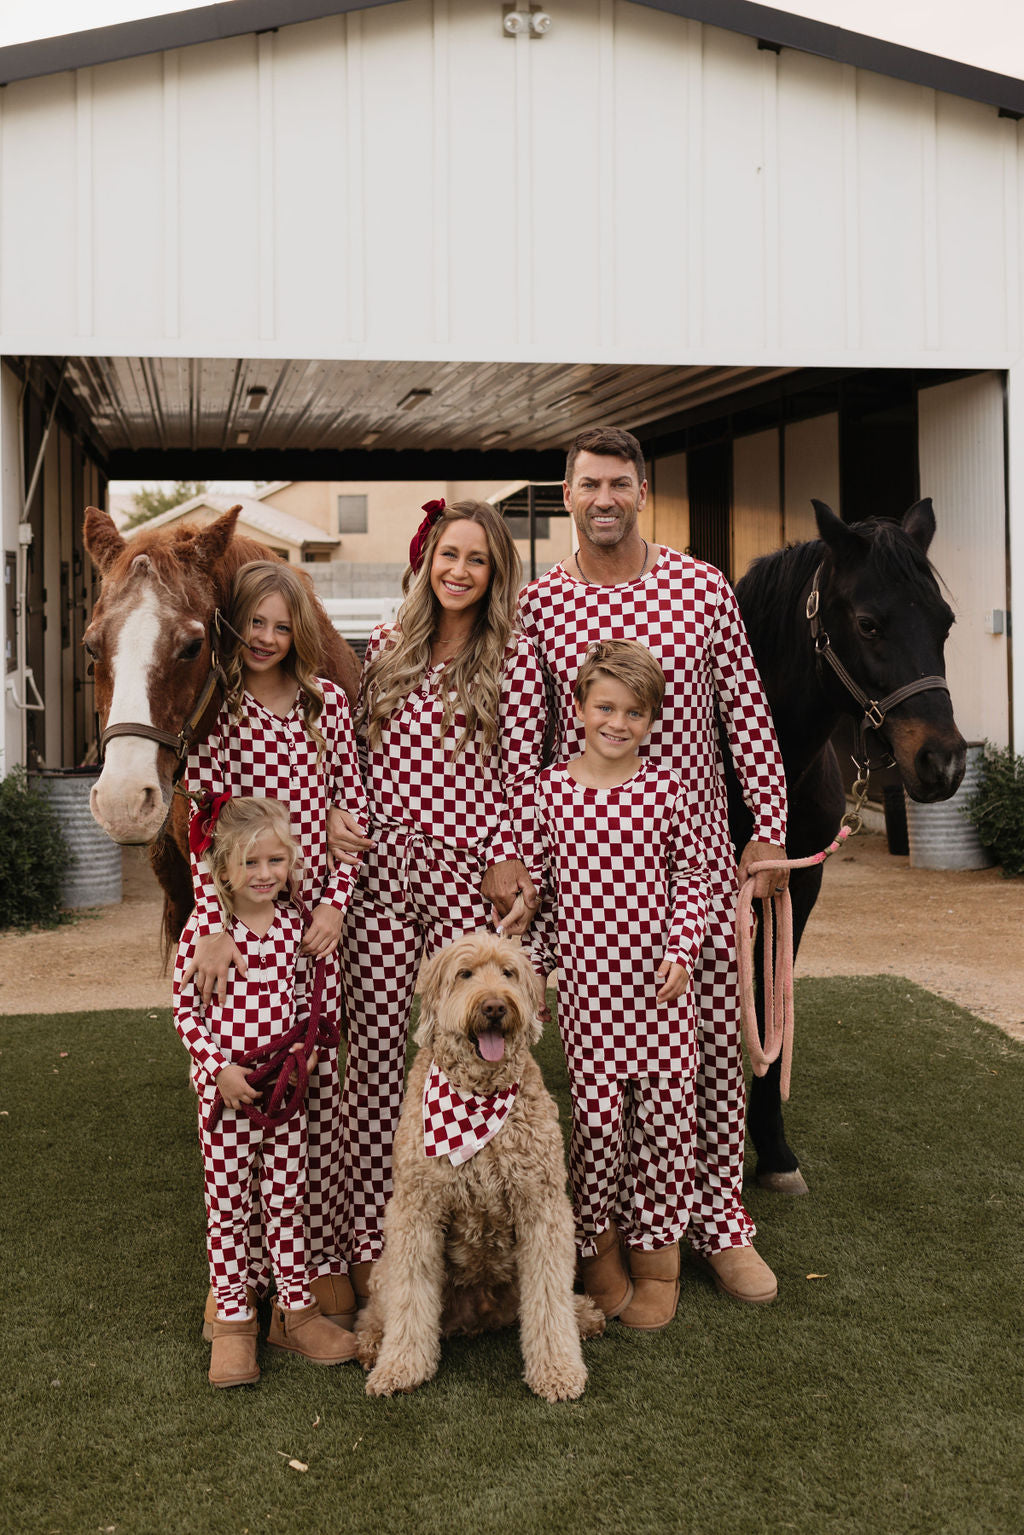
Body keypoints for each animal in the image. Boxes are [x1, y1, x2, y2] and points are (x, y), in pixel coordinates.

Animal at [356, 927, 604, 1399]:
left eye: (508, 972)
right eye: (465, 974)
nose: (494, 1006)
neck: (478, 1099)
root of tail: (480, 1315)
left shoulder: (543, 1208)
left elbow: (550, 1298)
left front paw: (558, 1370)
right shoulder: (416, 1212)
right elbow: (410, 1298)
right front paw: (400, 1368)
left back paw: (584, 1315)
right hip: (387, 1263)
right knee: (380, 1305)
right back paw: (371, 1344)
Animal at [727, 497, 970, 1191]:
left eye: (944, 623)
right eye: (867, 623)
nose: (943, 762)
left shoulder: (793, 885)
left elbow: (768, 1004)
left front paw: (773, 1151)